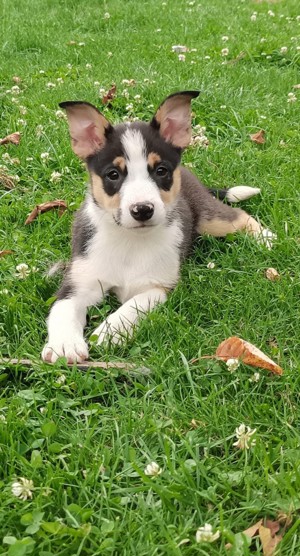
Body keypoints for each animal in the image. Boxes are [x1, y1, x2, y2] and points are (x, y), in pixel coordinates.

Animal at [42, 90, 274, 364]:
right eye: (113, 175)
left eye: (161, 170)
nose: (142, 209)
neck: (129, 241)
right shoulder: (77, 283)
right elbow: (61, 309)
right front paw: (64, 344)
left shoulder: (160, 285)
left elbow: (135, 304)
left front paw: (112, 331)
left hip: (210, 219)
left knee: (240, 215)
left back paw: (267, 237)